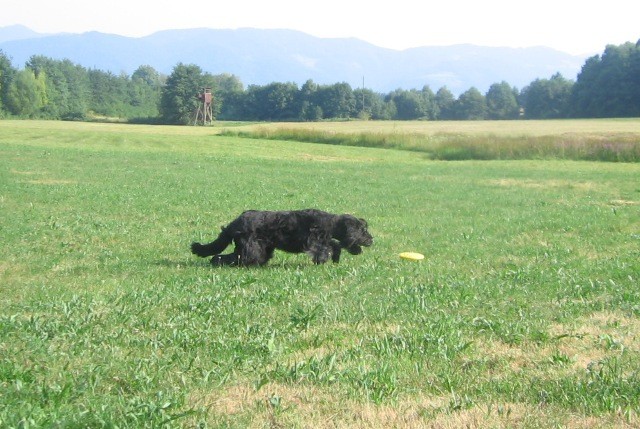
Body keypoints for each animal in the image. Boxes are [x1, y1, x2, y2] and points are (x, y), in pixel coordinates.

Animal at [190, 209, 372, 266]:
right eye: (362, 231)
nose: (372, 239)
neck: (330, 224)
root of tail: (234, 223)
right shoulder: (312, 241)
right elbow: (325, 248)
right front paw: (322, 260)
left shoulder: (324, 239)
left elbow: (334, 245)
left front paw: (335, 258)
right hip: (252, 248)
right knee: (236, 258)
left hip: (258, 248)